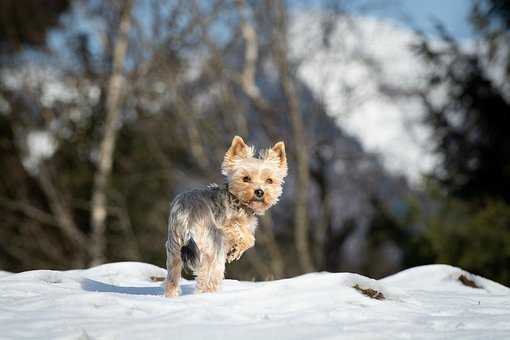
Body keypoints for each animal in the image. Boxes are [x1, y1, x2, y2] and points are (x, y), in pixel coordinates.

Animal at [166, 137, 288, 296]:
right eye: (246, 178)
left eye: (269, 180)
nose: (260, 192)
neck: (237, 199)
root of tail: (188, 218)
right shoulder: (228, 225)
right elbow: (248, 238)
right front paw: (235, 251)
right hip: (212, 250)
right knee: (208, 279)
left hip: (174, 247)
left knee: (172, 279)